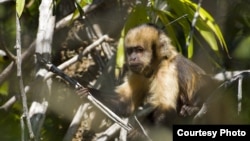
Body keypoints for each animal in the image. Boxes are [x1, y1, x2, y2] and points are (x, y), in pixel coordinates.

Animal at [77, 23, 218, 139]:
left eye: (139, 50)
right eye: (131, 51)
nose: (132, 58)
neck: (155, 67)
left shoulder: (167, 69)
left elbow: (166, 107)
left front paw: (142, 132)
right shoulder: (139, 73)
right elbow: (125, 104)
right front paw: (89, 91)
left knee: (206, 84)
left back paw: (192, 108)